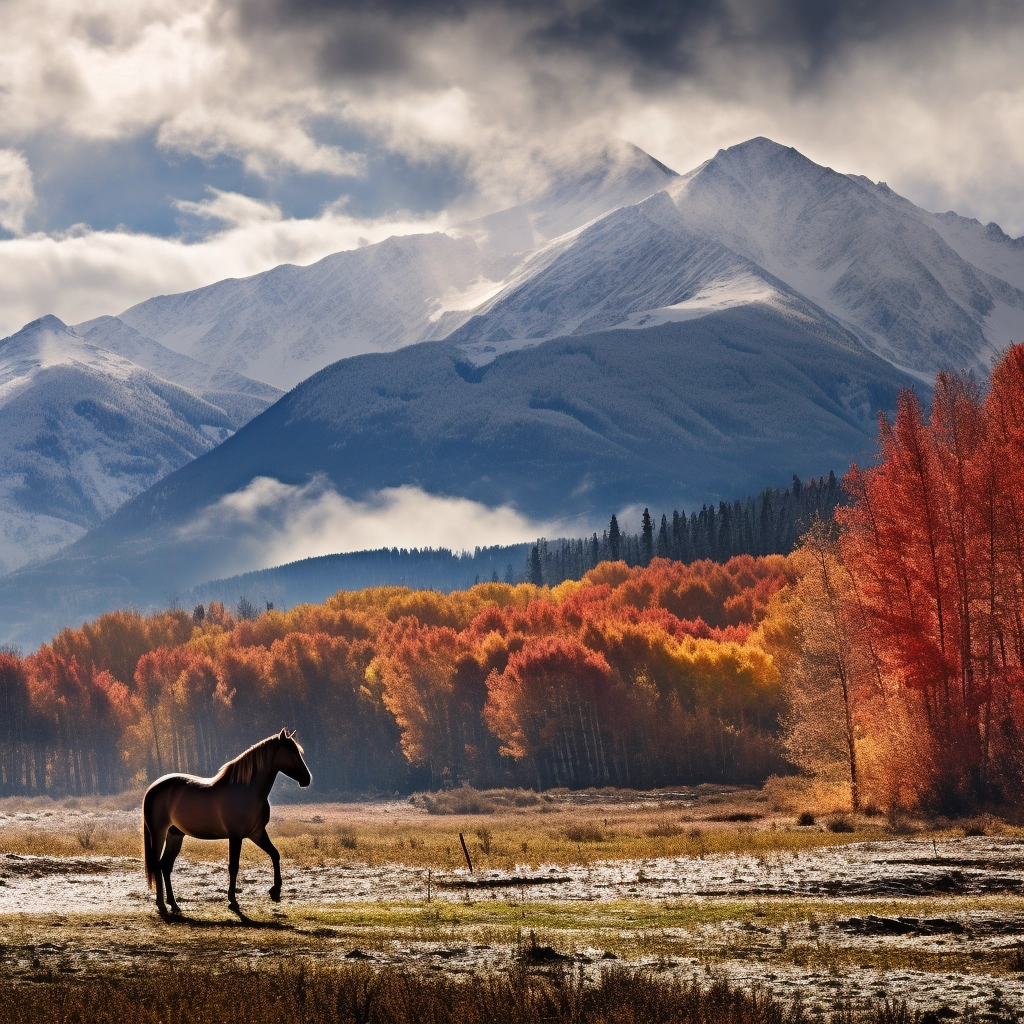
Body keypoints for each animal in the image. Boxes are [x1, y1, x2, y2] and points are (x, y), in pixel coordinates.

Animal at [139, 729, 311, 921]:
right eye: (292, 752)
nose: (307, 779)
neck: (246, 790)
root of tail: (153, 788)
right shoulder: (236, 836)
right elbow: (233, 867)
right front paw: (233, 902)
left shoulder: (257, 833)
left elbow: (275, 854)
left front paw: (275, 891)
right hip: (158, 833)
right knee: (157, 864)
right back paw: (161, 905)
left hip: (175, 835)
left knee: (165, 865)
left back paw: (174, 905)